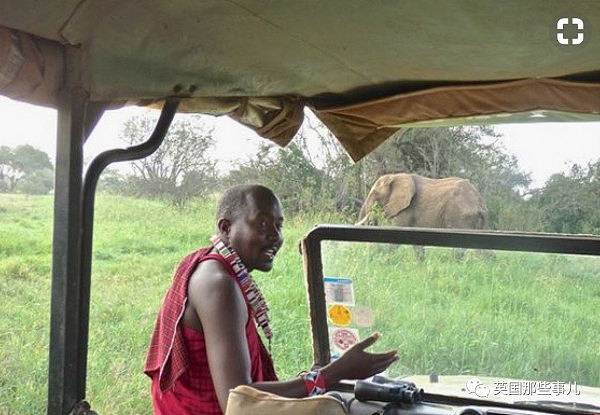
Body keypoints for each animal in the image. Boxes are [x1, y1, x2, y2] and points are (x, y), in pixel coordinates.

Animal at [356, 173, 488, 258]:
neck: (395, 176)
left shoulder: (407, 208)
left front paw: (382, 260)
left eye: (375, 193)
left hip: (459, 216)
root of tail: (479, 201)